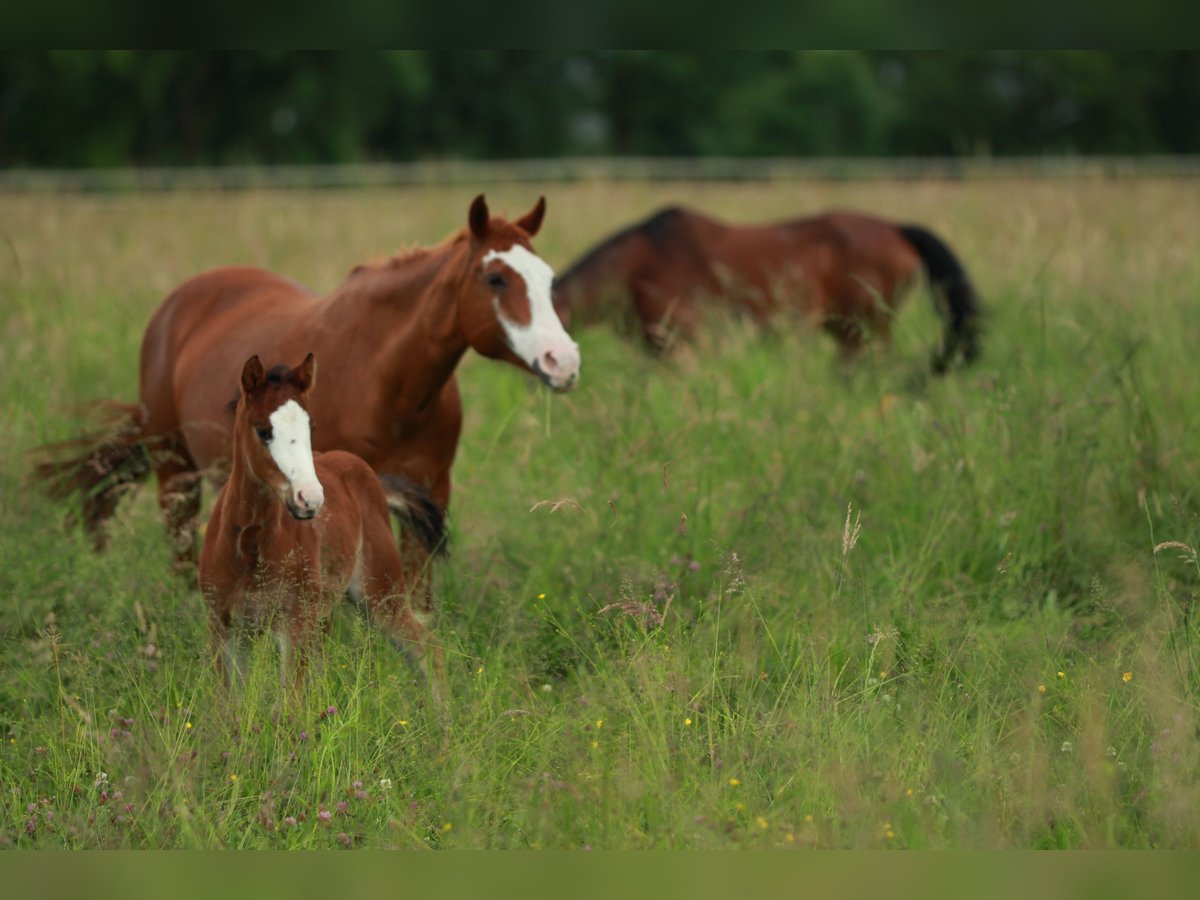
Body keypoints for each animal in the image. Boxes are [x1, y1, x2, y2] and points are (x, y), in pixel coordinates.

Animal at [34, 195, 581, 590]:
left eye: (549, 278)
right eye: (496, 277)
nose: (564, 360)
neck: (387, 382)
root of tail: (176, 306)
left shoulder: (429, 494)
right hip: (174, 470)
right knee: (181, 551)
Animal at [199, 353, 443, 699]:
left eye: (310, 427)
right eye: (263, 431)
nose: (310, 498)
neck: (249, 545)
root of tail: (370, 476)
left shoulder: (294, 625)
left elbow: (290, 704)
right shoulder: (224, 626)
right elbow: (229, 705)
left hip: (380, 593)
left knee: (426, 647)